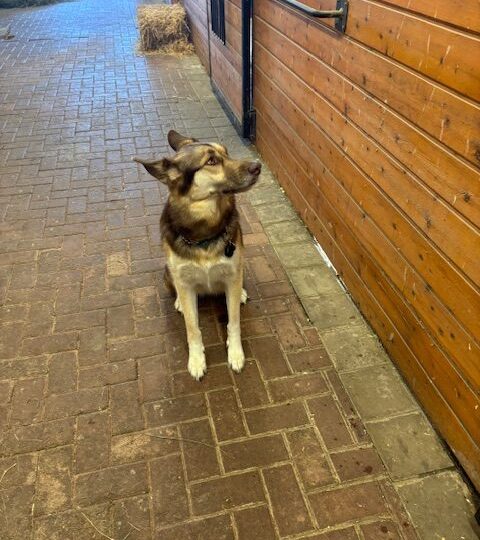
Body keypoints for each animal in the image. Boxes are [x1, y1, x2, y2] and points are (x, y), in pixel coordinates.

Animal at [133, 130, 260, 380]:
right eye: (211, 161)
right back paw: (180, 303)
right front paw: (196, 359)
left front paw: (235, 353)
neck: (204, 232)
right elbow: (192, 329)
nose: (258, 165)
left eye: (226, 153)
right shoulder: (183, 281)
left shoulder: (232, 272)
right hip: (167, 273)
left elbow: (234, 322)